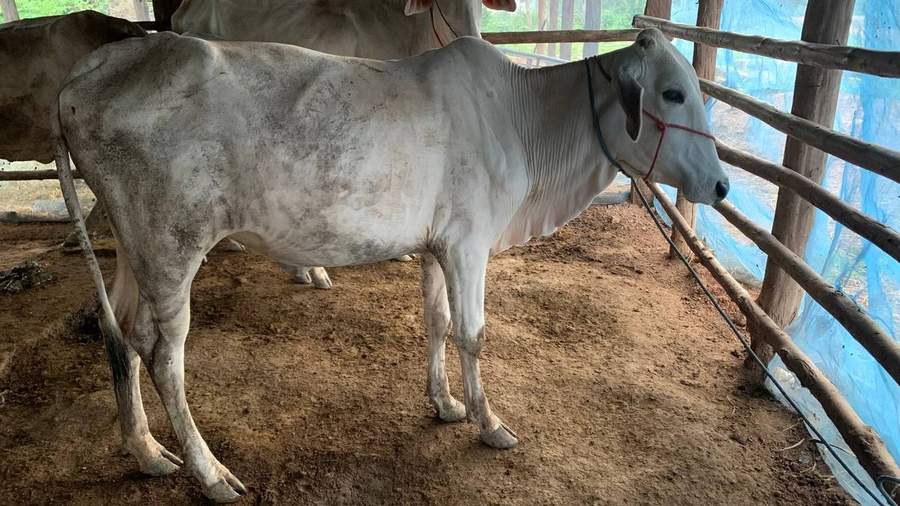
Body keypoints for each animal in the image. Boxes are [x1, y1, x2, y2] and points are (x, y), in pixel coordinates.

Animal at [55, 29, 728, 502]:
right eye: (672, 93)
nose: (721, 186)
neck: (527, 122)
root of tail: (88, 73)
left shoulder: (437, 247)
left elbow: (437, 323)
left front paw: (445, 404)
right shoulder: (468, 244)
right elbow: (473, 333)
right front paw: (488, 422)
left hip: (133, 246)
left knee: (119, 332)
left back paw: (145, 451)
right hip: (172, 246)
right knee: (163, 354)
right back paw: (210, 472)